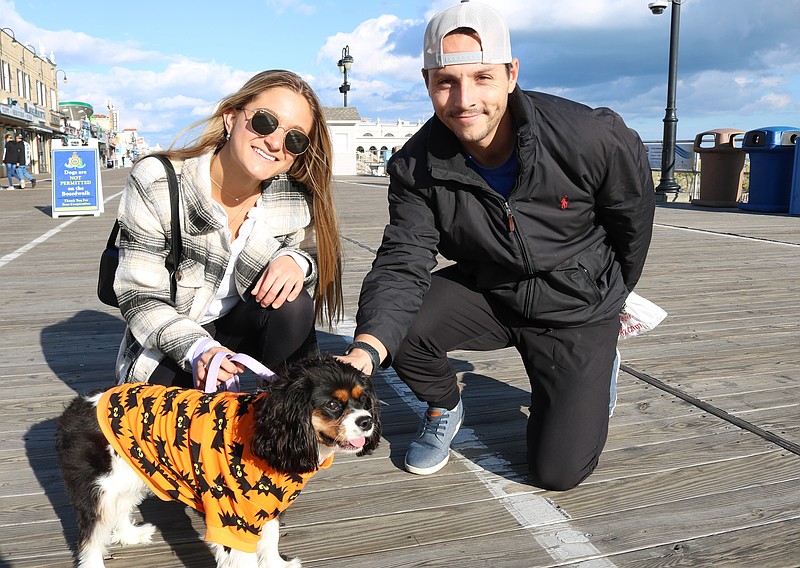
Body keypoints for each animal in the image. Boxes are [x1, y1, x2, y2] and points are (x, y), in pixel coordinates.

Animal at [55, 352, 382, 564]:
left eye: (362, 399)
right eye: (332, 405)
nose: (367, 421)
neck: (268, 431)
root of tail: (76, 406)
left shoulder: (267, 506)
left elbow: (271, 540)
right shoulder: (230, 518)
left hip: (135, 471)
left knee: (121, 508)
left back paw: (130, 536)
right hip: (98, 490)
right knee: (90, 538)